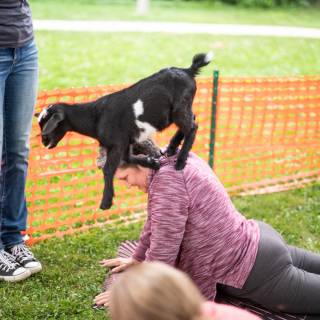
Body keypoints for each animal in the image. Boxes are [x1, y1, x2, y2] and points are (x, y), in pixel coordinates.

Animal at [36, 53, 212, 210]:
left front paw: (106, 202)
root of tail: (188, 70)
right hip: (180, 110)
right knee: (192, 120)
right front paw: (152, 162)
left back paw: (180, 161)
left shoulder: (117, 143)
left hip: (180, 108)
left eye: (48, 124)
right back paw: (172, 148)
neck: (95, 117)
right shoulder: (126, 141)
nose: (44, 141)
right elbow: (129, 158)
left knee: (193, 128)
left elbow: (108, 169)